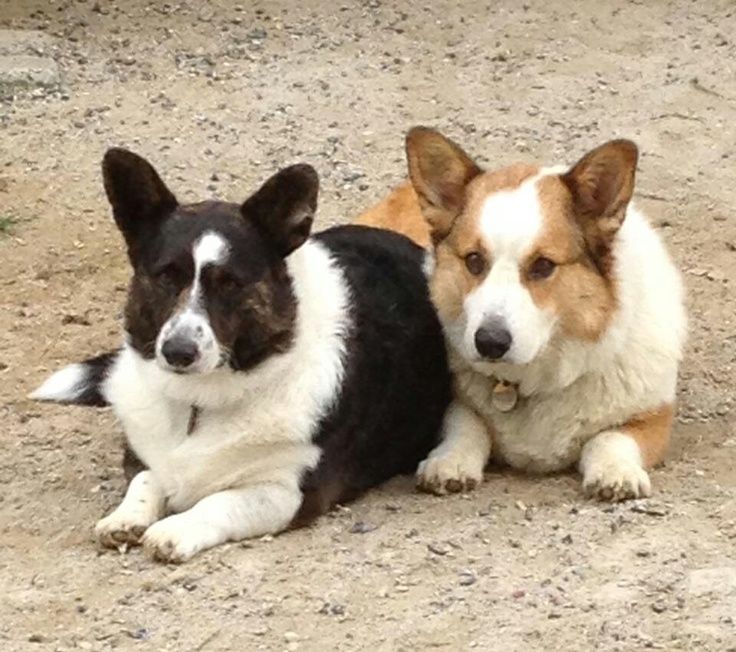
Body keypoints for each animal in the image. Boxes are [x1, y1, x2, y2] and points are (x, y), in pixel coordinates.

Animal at [34, 150, 452, 564]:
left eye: (230, 283)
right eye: (166, 276)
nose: (177, 352)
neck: (200, 402)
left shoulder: (287, 491)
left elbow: (220, 502)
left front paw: (174, 530)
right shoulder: (148, 457)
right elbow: (147, 477)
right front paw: (125, 516)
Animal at [360, 130, 688, 502]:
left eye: (543, 266)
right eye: (474, 260)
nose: (489, 342)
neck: (535, 377)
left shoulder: (653, 416)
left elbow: (611, 437)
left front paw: (615, 472)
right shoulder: (450, 405)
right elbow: (464, 425)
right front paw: (450, 462)